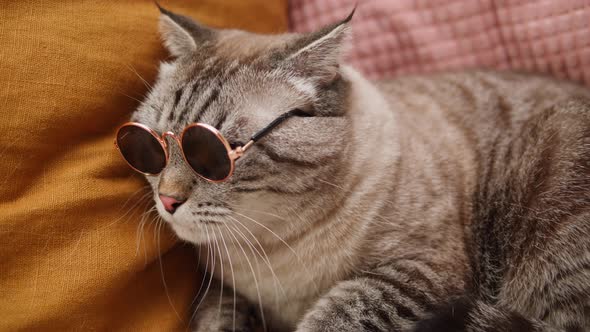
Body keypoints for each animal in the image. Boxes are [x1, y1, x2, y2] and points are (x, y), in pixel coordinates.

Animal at [128, 5, 590, 332]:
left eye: (214, 156)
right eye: (153, 147)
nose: (167, 199)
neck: (273, 256)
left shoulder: (415, 274)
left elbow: (333, 316)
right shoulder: (223, 290)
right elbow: (216, 318)